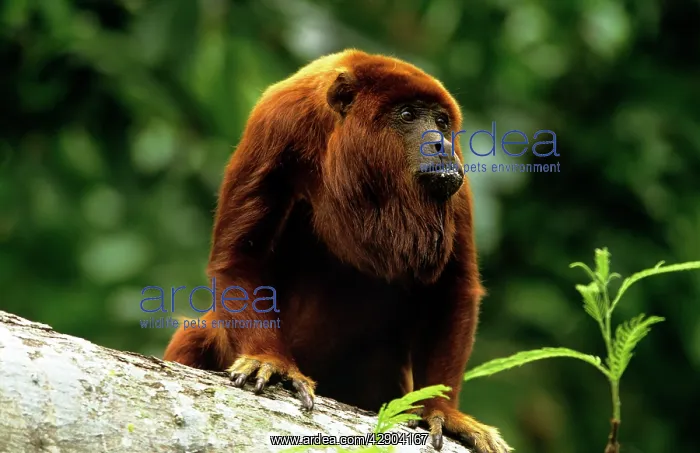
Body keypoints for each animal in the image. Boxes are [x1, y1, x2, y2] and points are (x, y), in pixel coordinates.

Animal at [163, 49, 511, 453]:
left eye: (440, 121)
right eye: (408, 115)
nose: (440, 144)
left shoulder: (459, 177)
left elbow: (452, 288)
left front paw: (442, 410)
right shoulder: (276, 123)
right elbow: (239, 257)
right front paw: (269, 360)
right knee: (197, 332)